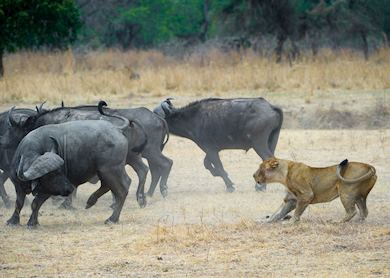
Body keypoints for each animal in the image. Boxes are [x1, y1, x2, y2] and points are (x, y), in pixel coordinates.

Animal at [155, 97, 284, 191]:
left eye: (157, 114)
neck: (193, 118)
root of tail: (271, 107)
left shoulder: (210, 149)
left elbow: (218, 165)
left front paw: (229, 186)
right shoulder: (211, 150)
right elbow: (207, 164)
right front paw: (221, 175)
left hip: (259, 144)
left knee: (268, 160)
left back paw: (261, 187)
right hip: (272, 141)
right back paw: (261, 186)